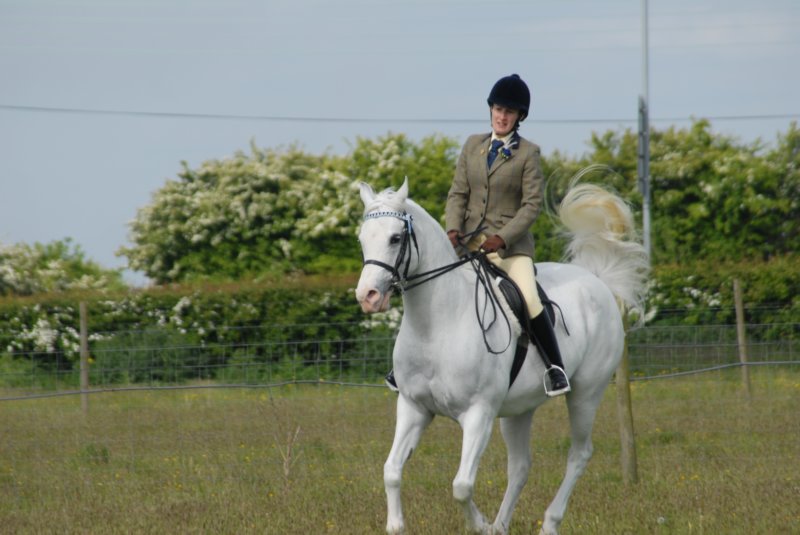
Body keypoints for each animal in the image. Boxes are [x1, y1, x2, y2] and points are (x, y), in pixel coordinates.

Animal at [356, 179, 648, 535]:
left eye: (395, 238)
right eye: (362, 238)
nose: (368, 297)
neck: (437, 324)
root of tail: (598, 282)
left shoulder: (478, 413)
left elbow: (462, 485)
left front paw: (479, 525)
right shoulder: (414, 407)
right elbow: (392, 470)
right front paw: (398, 525)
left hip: (585, 394)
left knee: (579, 455)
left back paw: (548, 523)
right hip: (519, 409)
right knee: (520, 466)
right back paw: (501, 525)